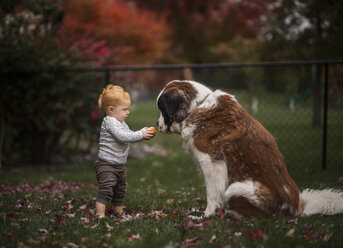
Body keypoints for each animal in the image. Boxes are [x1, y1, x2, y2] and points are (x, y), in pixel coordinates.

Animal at [157, 80, 343, 218]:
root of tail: (294, 209)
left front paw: (206, 215)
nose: (157, 125)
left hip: (237, 187)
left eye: (162, 108)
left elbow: (212, 193)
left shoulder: (210, 162)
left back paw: (230, 214)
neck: (196, 107)